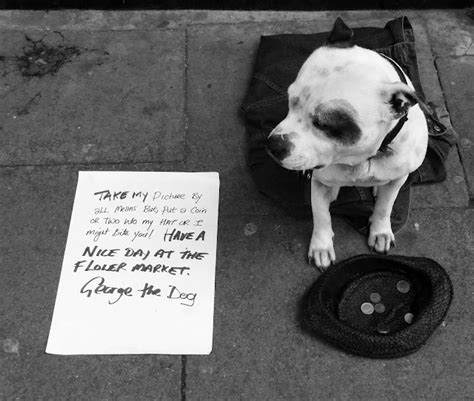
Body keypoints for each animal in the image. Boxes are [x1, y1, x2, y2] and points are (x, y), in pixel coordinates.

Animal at [266, 18, 430, 268]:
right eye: (290, 100)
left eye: (323, 124)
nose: (273, 145)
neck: (360, 158)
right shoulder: (318, 181)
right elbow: (321, 215)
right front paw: (321, 246)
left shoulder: (398, 177)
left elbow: (385, 206)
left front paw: (380, 231)